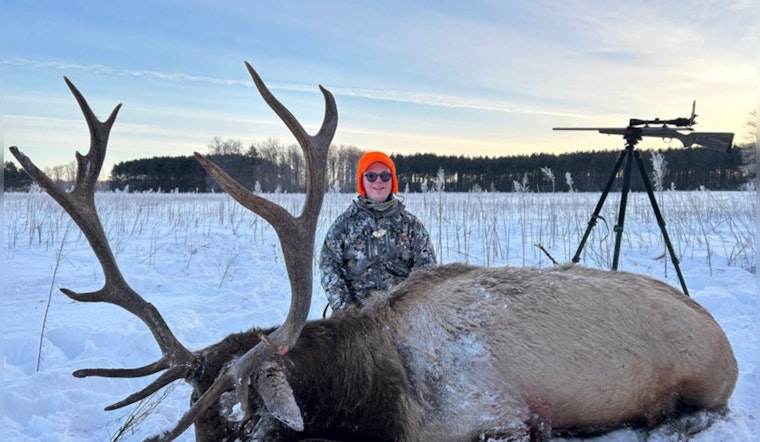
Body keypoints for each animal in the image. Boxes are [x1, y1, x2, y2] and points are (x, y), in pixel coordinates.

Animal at [10, 62, 738, 442]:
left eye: (246, 422)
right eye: (200, 426)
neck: (371, 400)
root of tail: (727, 344)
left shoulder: (496, 415)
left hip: (702, 384)